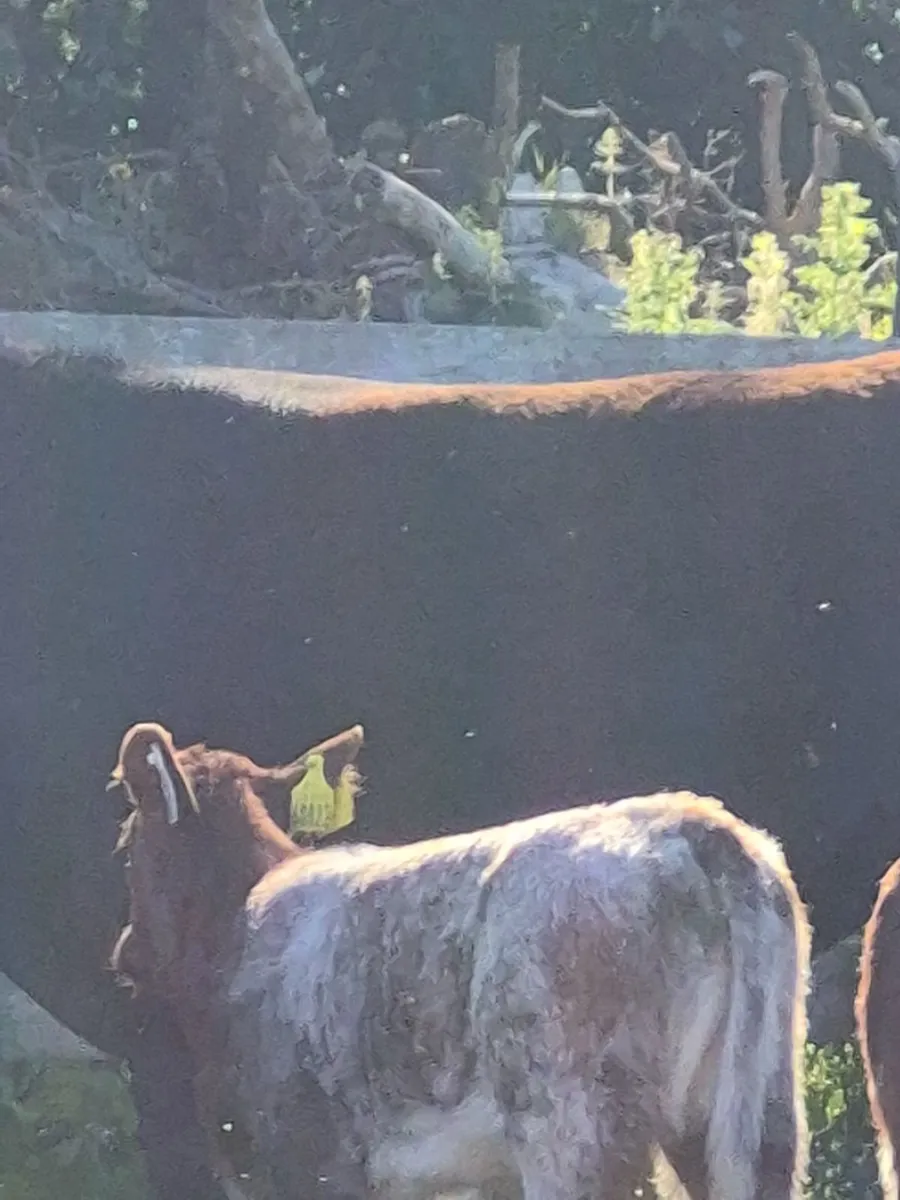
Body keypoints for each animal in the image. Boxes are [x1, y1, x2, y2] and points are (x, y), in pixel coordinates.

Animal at [110, 717, 811, 1200]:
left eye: (128, 839)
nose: (127, 952)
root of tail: (688, 823)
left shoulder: (303, 1164)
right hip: (757, 1113)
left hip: (572, 1131)